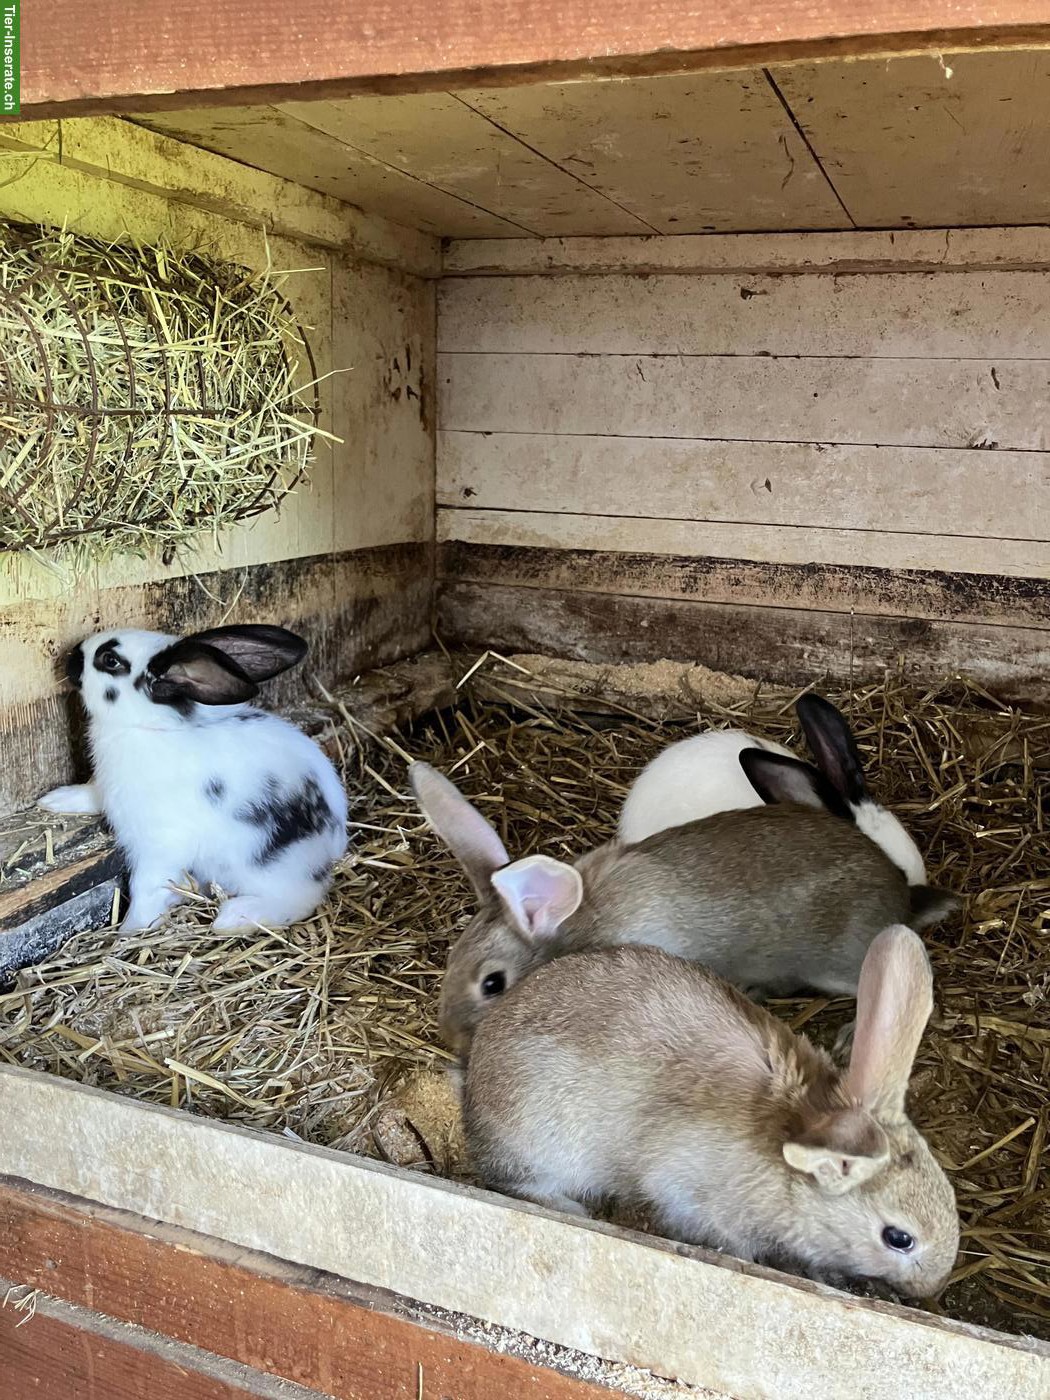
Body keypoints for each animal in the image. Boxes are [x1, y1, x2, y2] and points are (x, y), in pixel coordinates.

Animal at [39, 625, 347, 934]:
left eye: (110, 660)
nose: (71, 654)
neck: (147, 726)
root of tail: (336, 840)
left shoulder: (161, 843)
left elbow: (146, 886)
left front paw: (130, 930)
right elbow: (90, 794)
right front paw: (55, 800)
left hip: (269, 864)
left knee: (302, 897)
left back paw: (234, 917)